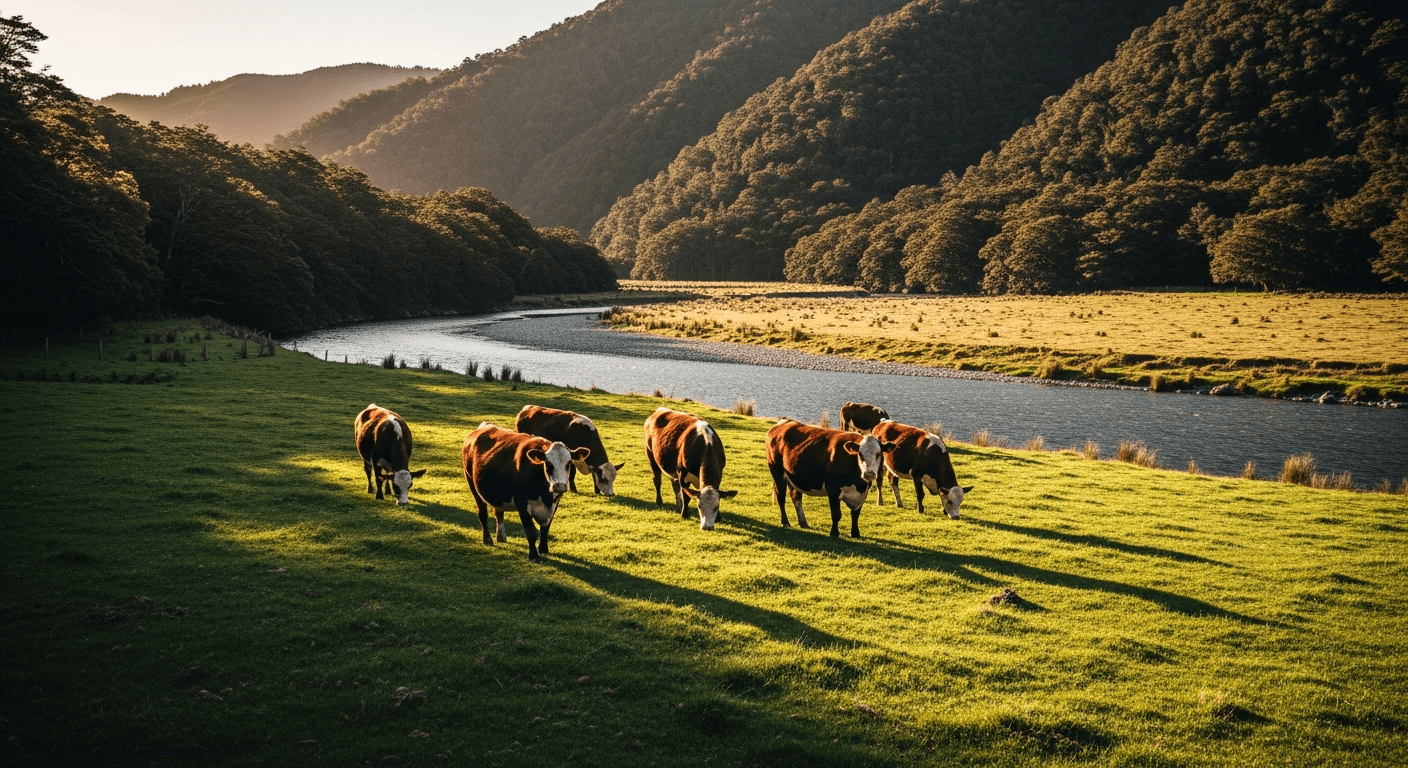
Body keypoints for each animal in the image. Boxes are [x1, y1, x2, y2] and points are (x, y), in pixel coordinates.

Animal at [461, 422, 590, 561]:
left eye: (569, 463)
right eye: (548, 464)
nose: (559, 486)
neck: (545, 496)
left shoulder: (554, 504)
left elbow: (545, 528)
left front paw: (543, 549)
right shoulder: (522, 504)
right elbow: (531, 532)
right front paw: (534, 555)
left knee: (499, 512)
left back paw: (501, 536)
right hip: (472, 484)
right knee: (482, 513)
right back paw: (487, 539)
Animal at [765, 419, 895, 538]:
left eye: (878, 454)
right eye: (860, 454)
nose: (869, 473)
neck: (858, 484)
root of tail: (783, 423)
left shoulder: (862, 493)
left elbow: (855, 514)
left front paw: (855, 534)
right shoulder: (833, 489)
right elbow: (836, 514)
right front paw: (834, 533)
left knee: (796, 497)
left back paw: (803, 522)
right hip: (777, 472)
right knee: (781, 497)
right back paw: (785, 522)